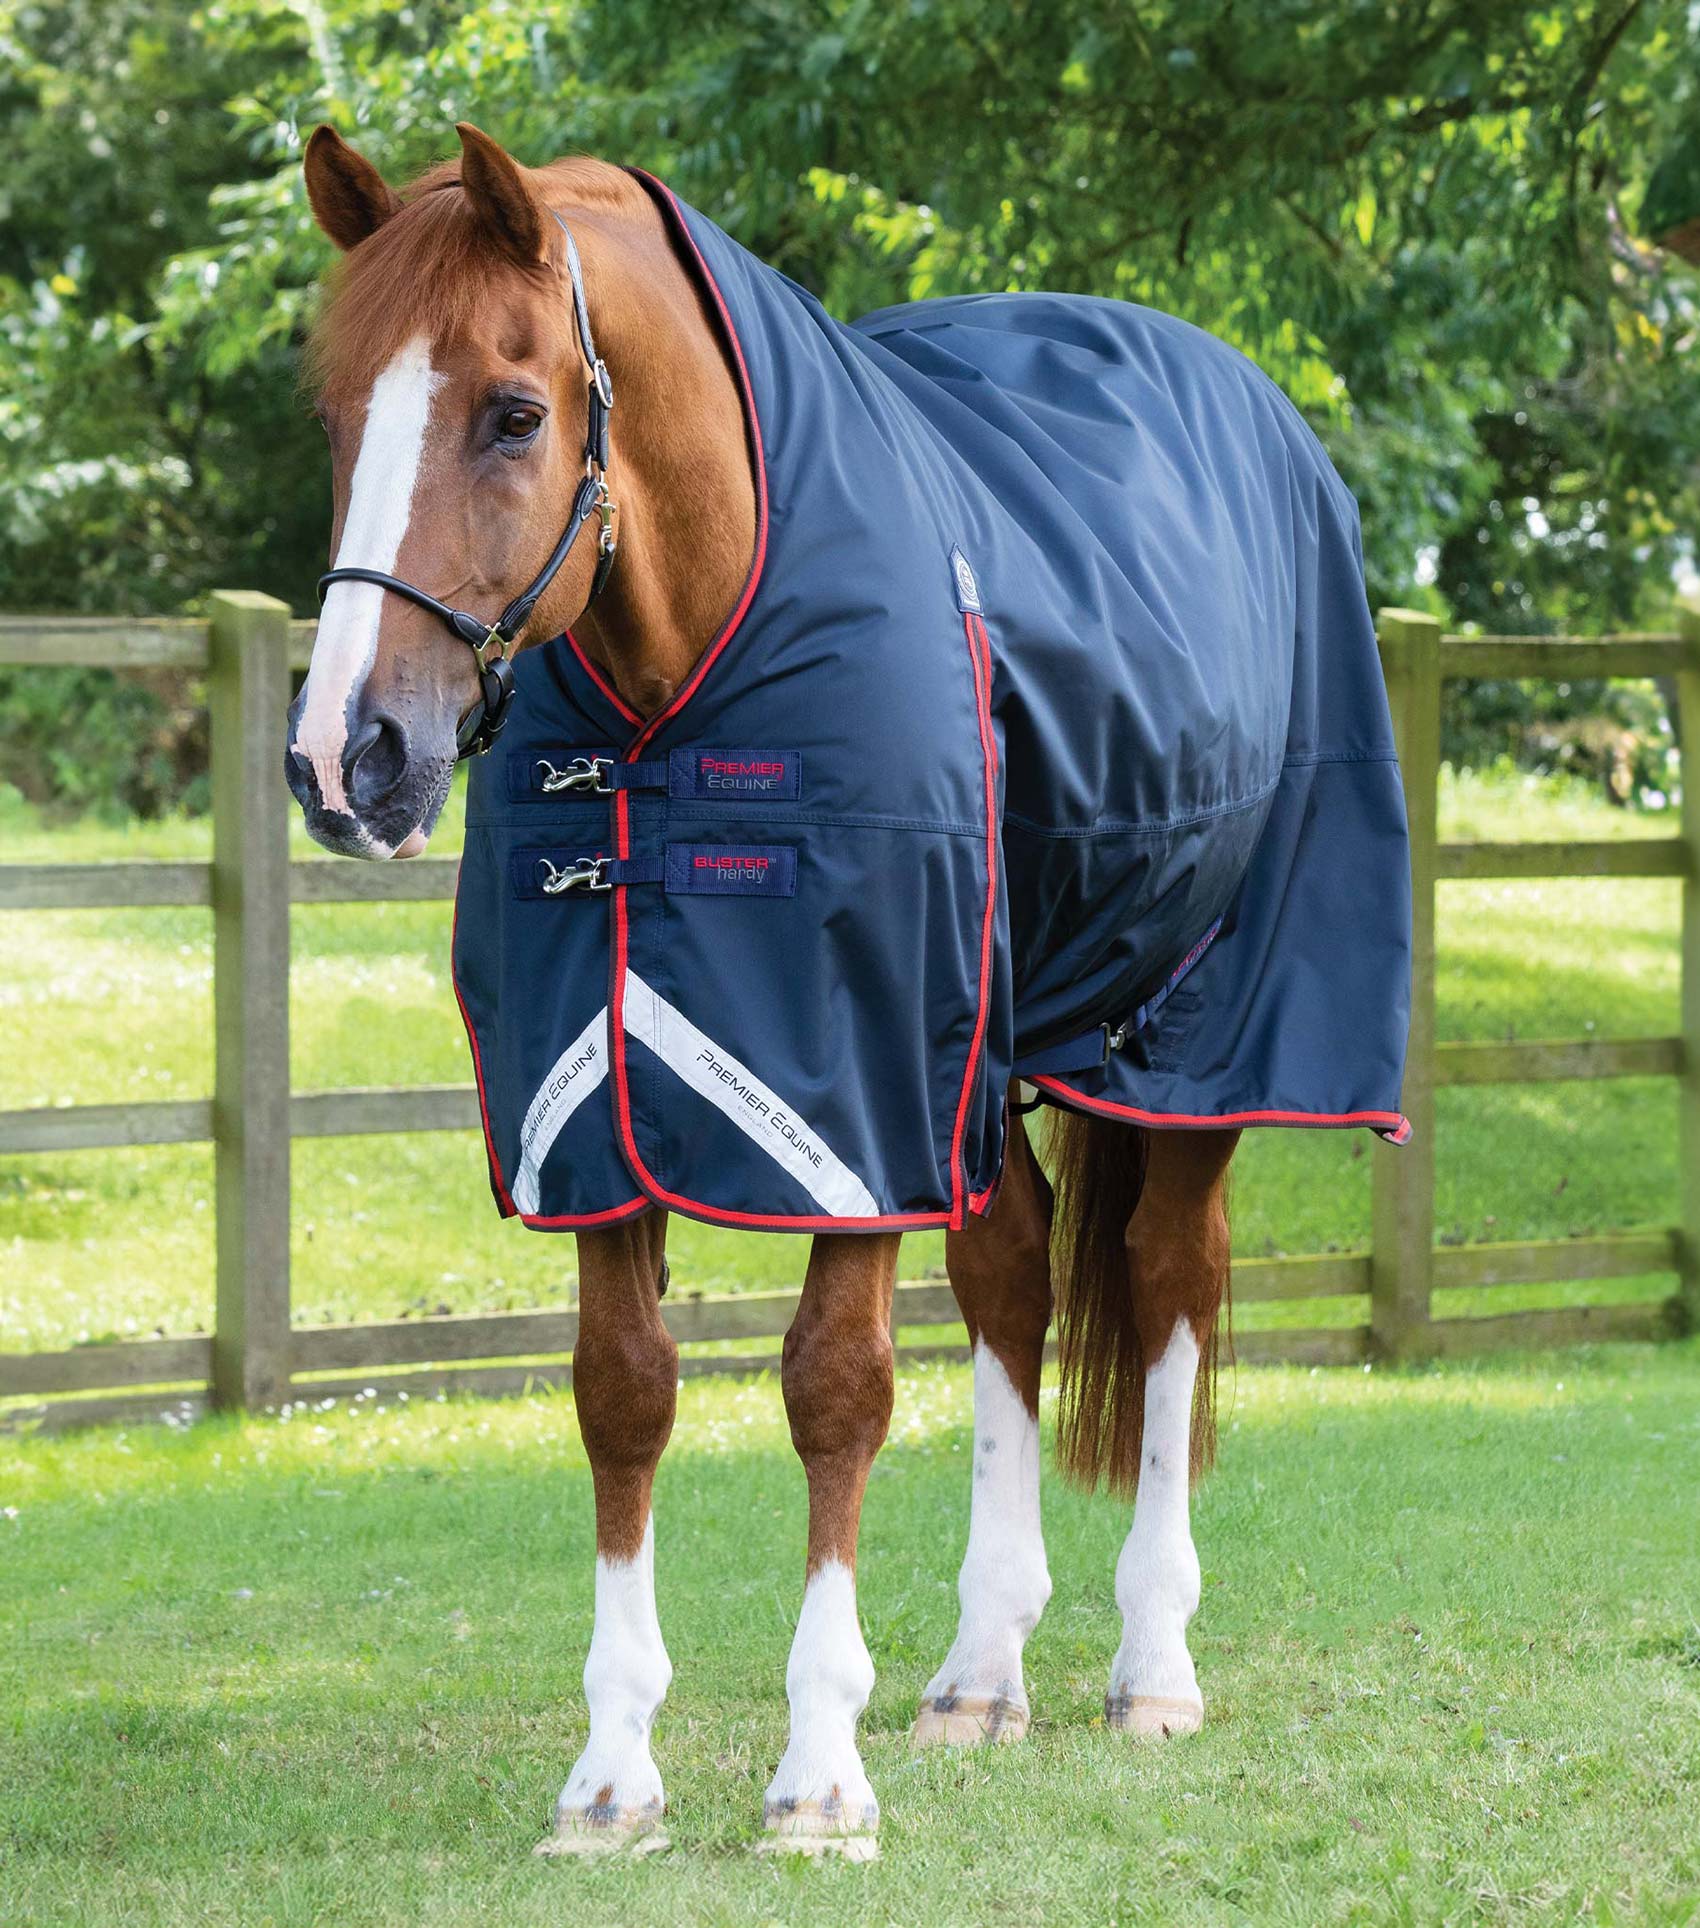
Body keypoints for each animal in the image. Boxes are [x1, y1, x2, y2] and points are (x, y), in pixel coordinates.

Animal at [286, 122, 1410, 1856]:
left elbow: (836, 1394)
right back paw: (980, 1674)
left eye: (515, 412)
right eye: (336, 413)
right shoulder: (598, 1110)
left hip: (1197, 1039)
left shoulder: (861, 1095)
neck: (700, 655)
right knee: (1015, 1276)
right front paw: (612, 1780)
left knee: (1168, 1282)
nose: (350, 755)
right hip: (990, 1052)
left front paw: (818, 1773)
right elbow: (623, 1394)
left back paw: (1152, 1664)